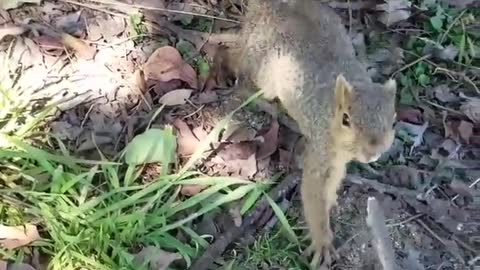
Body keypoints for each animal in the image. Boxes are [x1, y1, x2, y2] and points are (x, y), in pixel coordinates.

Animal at [231, 0, 396, 266]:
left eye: (393, 121)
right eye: (346, 120)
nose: (373, 152)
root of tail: (264, 6)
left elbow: (331, 185)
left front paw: (332, 200)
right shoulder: (321, 149)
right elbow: (313, 191)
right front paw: (322, 242)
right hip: (264, 68)